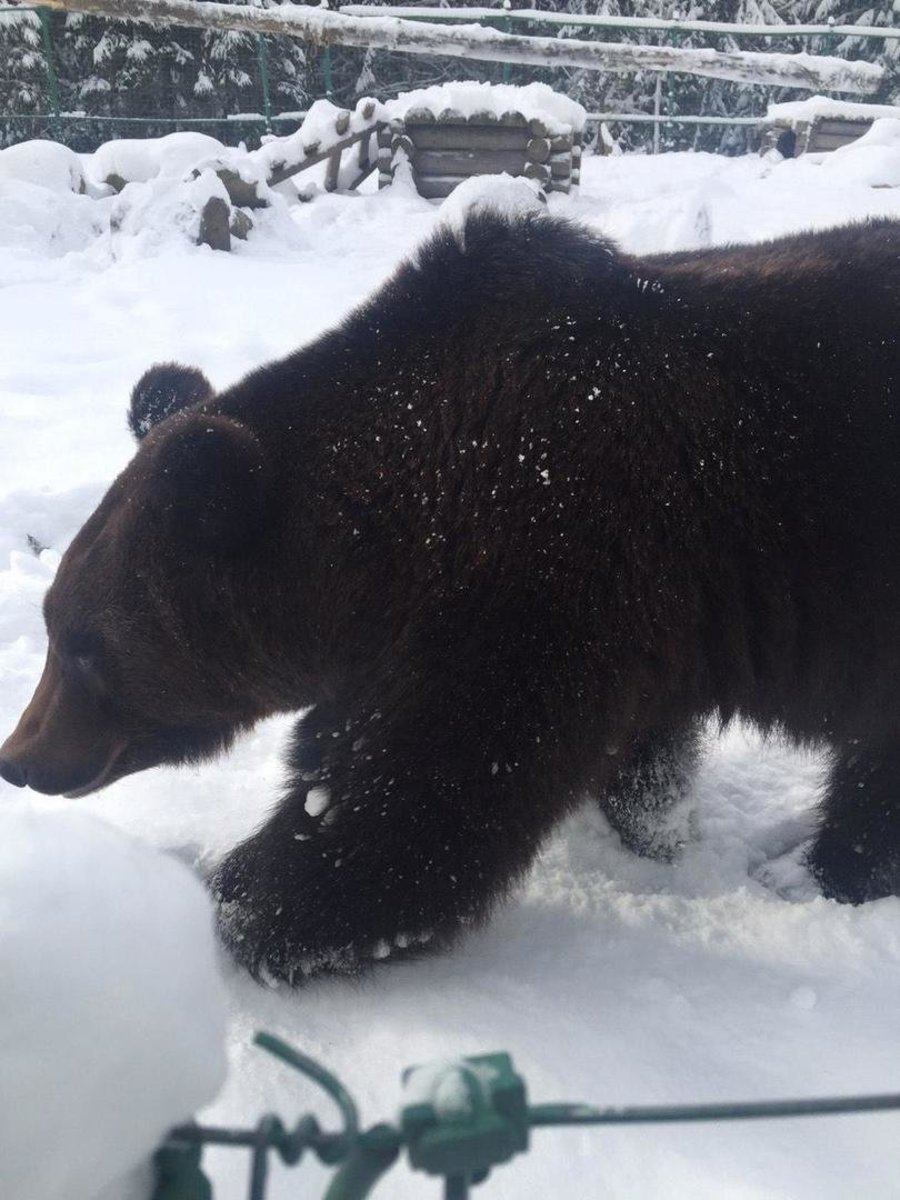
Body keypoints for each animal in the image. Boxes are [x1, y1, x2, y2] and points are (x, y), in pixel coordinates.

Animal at [1, 213, 900, 984]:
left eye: (82, 645)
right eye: (52, 625)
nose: (19, 757)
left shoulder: (541, 563)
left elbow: (426, 790)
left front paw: (258, 901)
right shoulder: (633, 603)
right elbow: (642, 759)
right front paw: (659, 830)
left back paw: (824, 873)